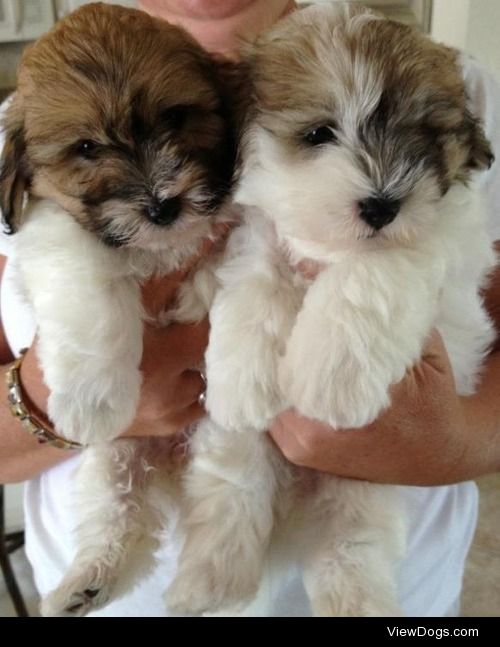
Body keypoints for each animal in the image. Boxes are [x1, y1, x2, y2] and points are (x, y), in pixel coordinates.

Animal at [0, 0, 236, 616]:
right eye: (87, 148)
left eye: (176, 117)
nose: (162, 205)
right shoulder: (55, 233)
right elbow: (90, 290)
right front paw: (93, 398)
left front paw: (200, 294)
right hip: (114, 460)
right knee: (118, 517)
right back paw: (88, 580)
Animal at [166, 2, 494, 616]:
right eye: (319, 133)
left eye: (425, 136)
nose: (383, 204)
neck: (331, 244)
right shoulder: (260, 232)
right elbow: (255, 282)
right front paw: (244, 381)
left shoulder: (432, 244)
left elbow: (369, 277)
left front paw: (330, 377)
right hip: (238, 452)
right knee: (232, 489)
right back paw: (210, 580)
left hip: (370, 475)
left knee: (352, 539)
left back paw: (353, 596)